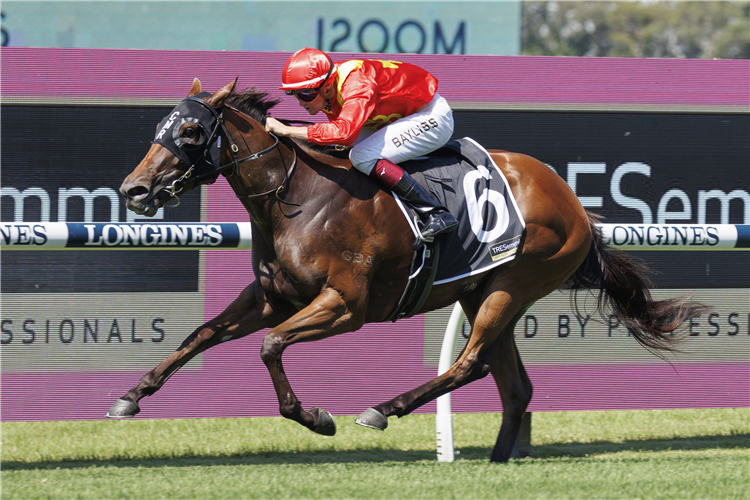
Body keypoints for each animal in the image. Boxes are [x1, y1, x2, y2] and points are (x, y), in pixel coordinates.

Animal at [110, 76, 704, 462]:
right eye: (161, 125)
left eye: (190, 131)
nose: (133, 190)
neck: (297, 198)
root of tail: (574, 202)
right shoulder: (272, 298)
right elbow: (201, 335)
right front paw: (131, 396)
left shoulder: (344, 306)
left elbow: (271, 346)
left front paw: (316, 417)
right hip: (483, 291)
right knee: (512, 384)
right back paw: (496, 461)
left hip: (513, 285)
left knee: (470, 364)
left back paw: (382, 408)